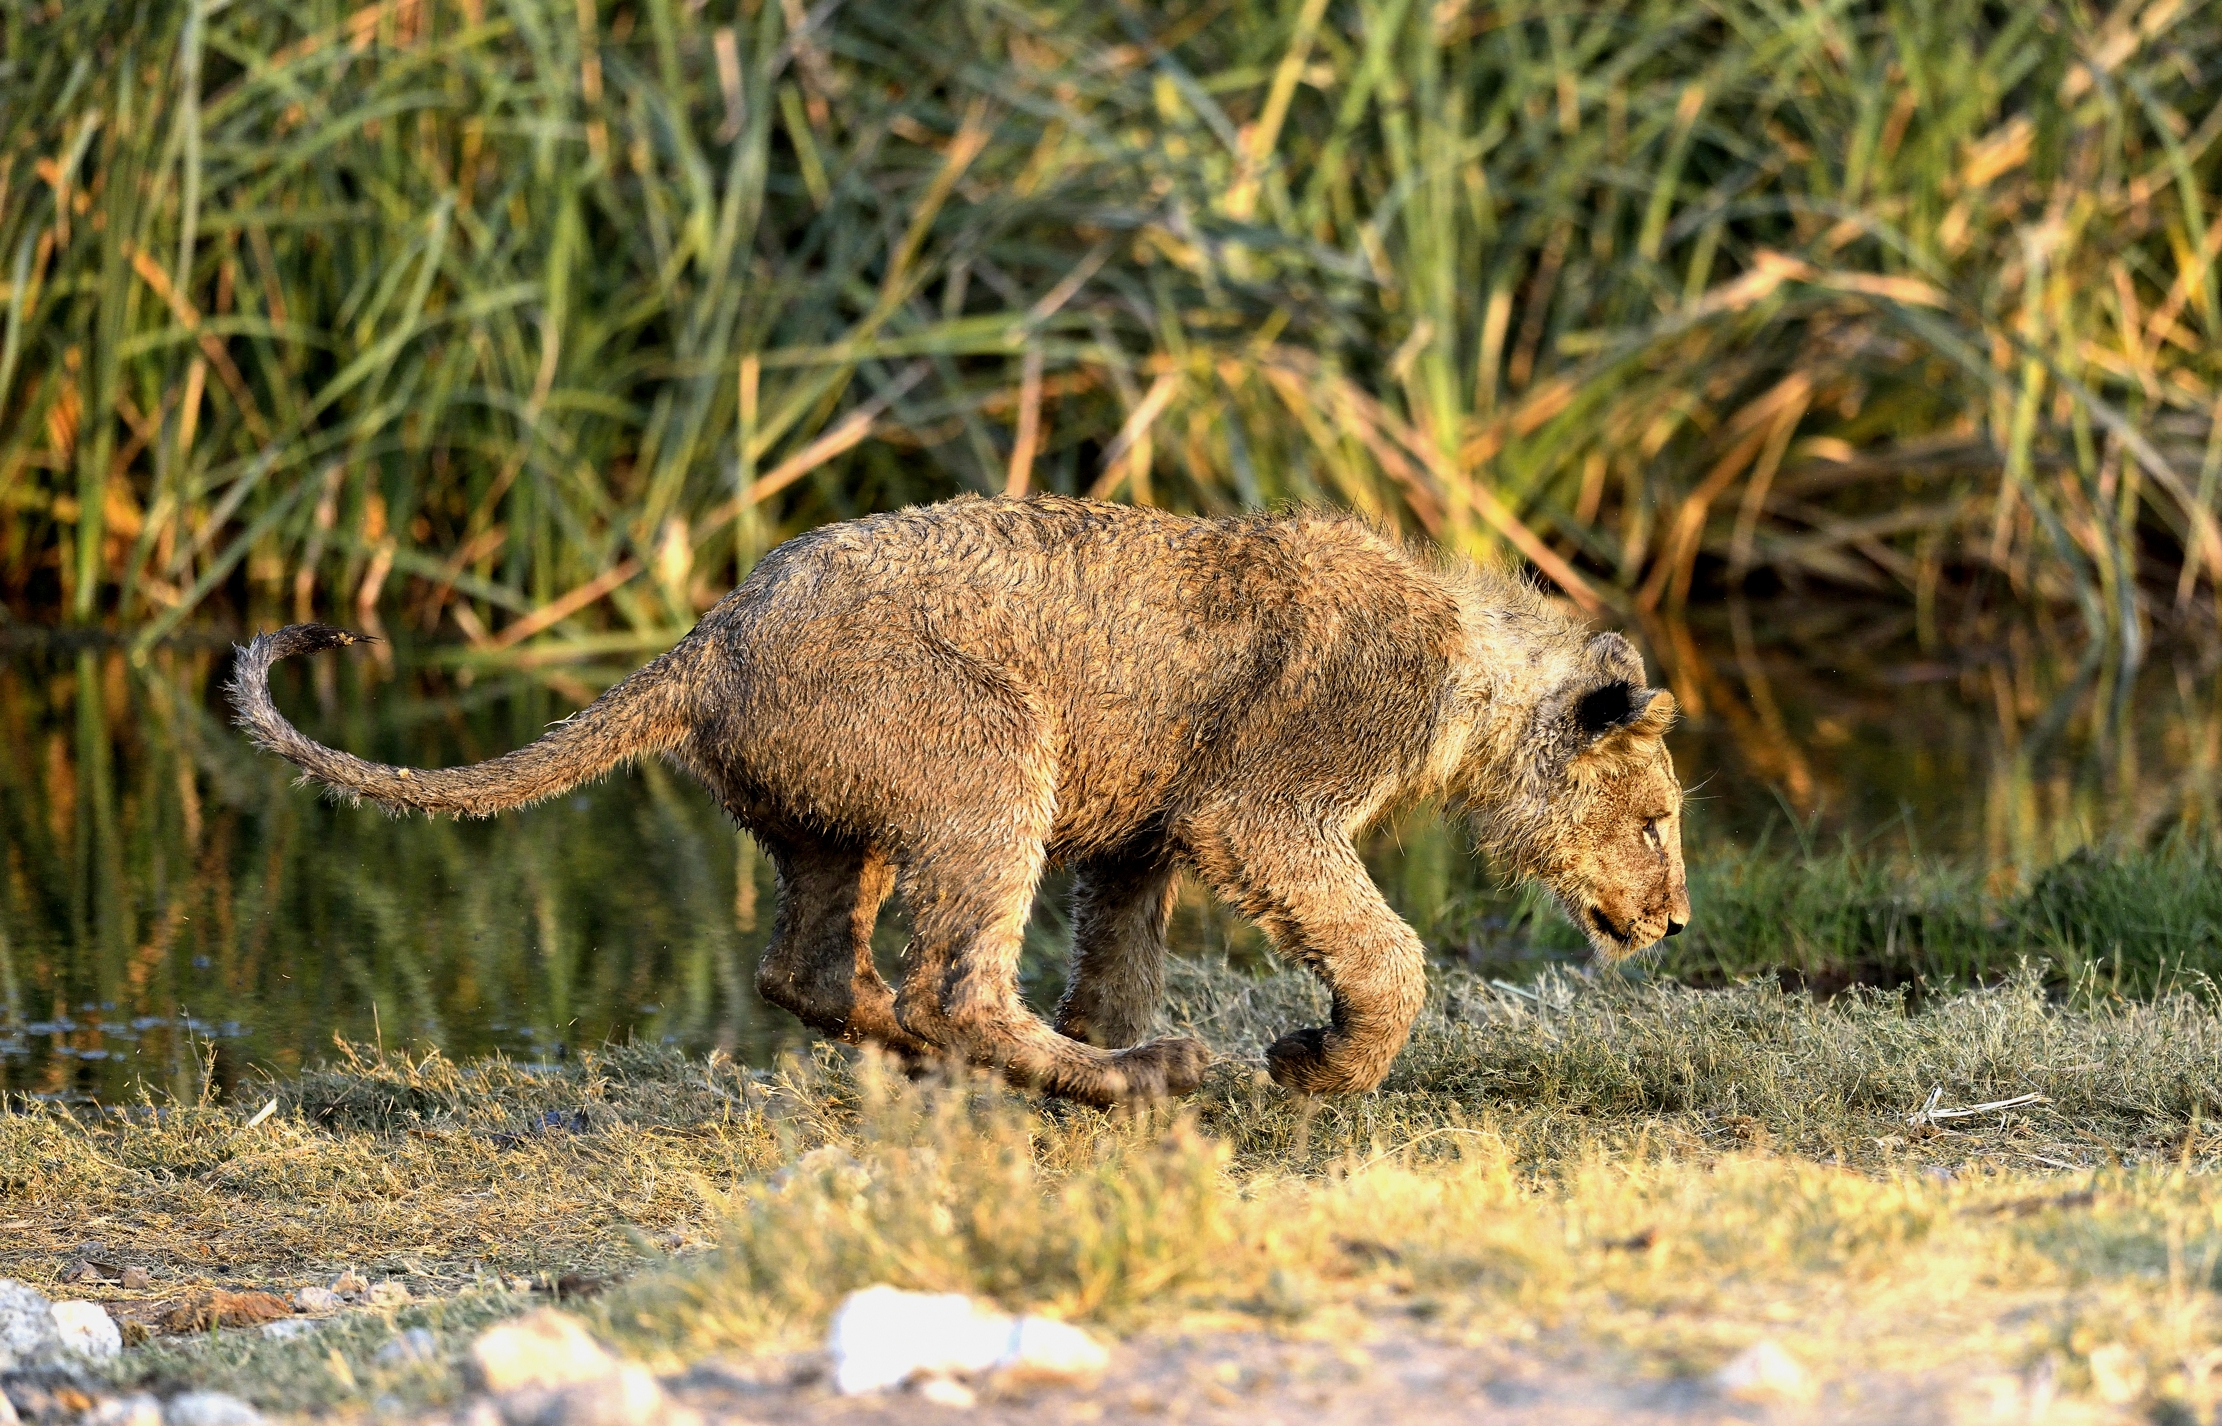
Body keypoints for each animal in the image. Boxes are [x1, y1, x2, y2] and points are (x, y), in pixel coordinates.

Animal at [229, 495, 1689, 1105]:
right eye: (1658, 820)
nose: (1674, 923)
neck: (1476, 671)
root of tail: (710, 634)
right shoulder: (1257, 808)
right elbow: (1389, 953)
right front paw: (1321, 1067)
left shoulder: (1146, 831)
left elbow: (1120, 956)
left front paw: (1115, 1032)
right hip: (992, 755)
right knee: (951, 978)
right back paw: (1134, 1080)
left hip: (836, 824)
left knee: (811, 971)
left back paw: (1009, 1070)